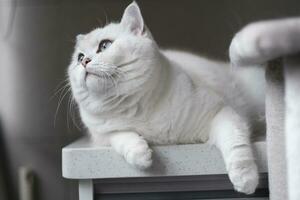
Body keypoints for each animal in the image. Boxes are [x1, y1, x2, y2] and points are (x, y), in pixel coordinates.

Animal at [68, 1, 268, 195]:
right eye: (79, 57)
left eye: (105, 45)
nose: (84, 61)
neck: (133, 108)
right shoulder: (102, 136)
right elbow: (121, 136)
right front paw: (141, 155)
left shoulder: (221, 112)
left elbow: (236, 145)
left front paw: (246, 180)